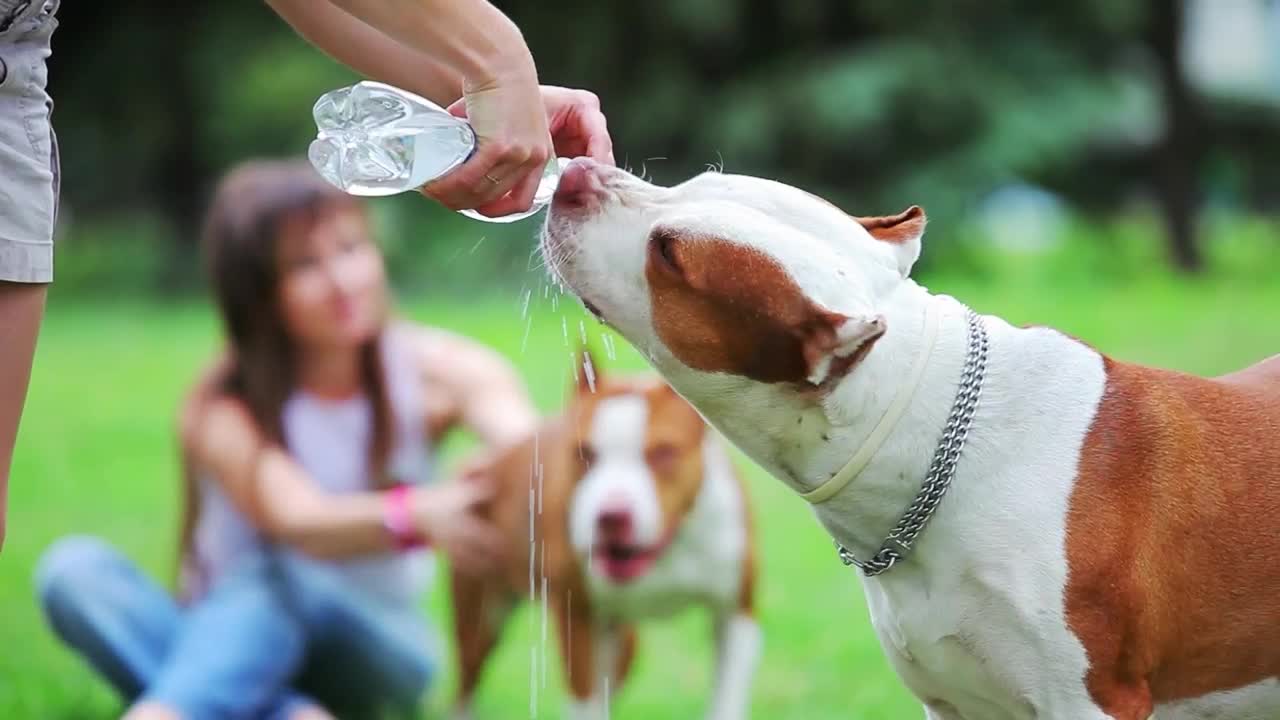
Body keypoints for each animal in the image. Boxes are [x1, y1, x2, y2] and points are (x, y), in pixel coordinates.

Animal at [448, 351, 752, 717]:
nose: (611, 515)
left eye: (664, 452)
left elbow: (727, 699)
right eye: (585, 453)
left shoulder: (736, 613)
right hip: (480, 614)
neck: (664, 552)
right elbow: (584, 702)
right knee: (468, 675)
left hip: (623, 640)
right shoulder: (578, 619)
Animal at [537, 158, 1280, 717]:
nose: (573, 173)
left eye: (669, 254)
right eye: (689, 180)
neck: (941, 446)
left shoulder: (1089, 703)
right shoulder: (952, 704)